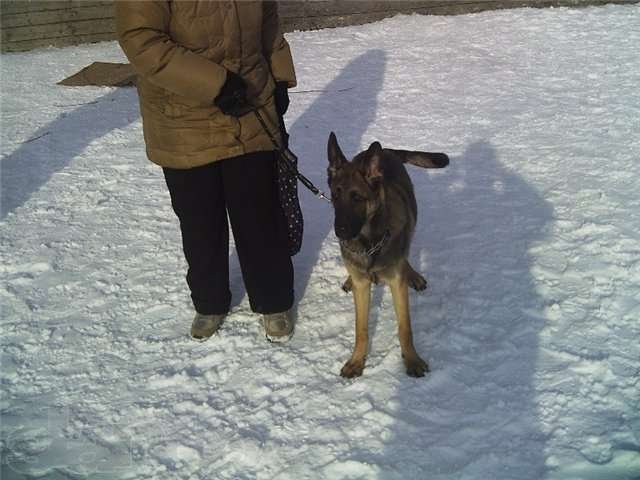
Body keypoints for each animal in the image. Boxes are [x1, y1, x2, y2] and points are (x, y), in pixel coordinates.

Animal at [328, 132, 448, 378]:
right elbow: (361, 329)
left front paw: (412, 359)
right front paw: (357, 361)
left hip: (411, 220)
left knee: (406, 250)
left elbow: (405, 327)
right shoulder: (363, 286)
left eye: (357, 198)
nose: (340, 231)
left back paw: (412, 274)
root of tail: (385, 151)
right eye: (335, 196)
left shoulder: (396, 283)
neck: (370, 243)